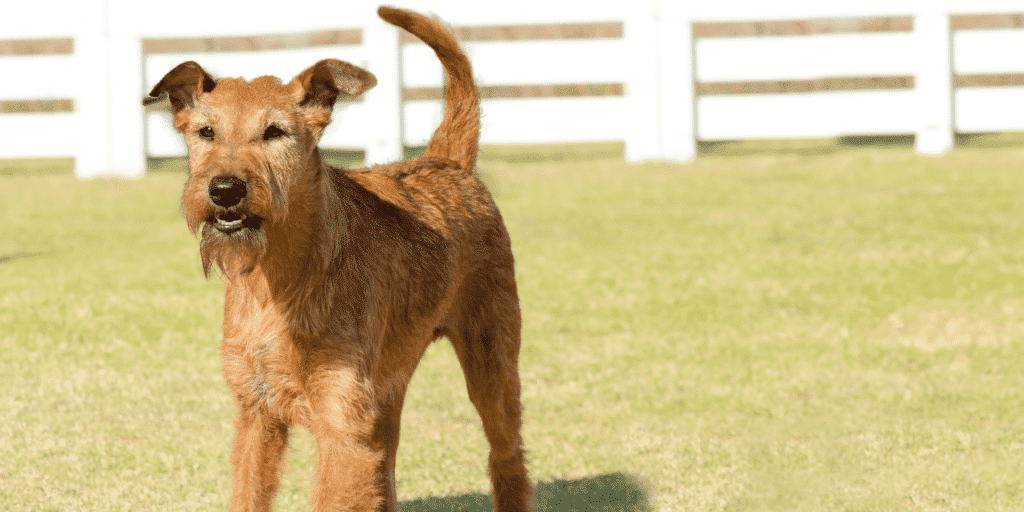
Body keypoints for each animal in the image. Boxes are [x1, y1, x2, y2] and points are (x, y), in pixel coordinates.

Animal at [150, 8, 532, 512]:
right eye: (206, 132)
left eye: (274, 132)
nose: (225, 189)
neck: (279, 280)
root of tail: (447, 161)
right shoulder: (257, 413)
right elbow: (249, 494)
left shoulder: (341, 424)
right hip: (388, 396)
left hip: (492, 370)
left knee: (508, 458)